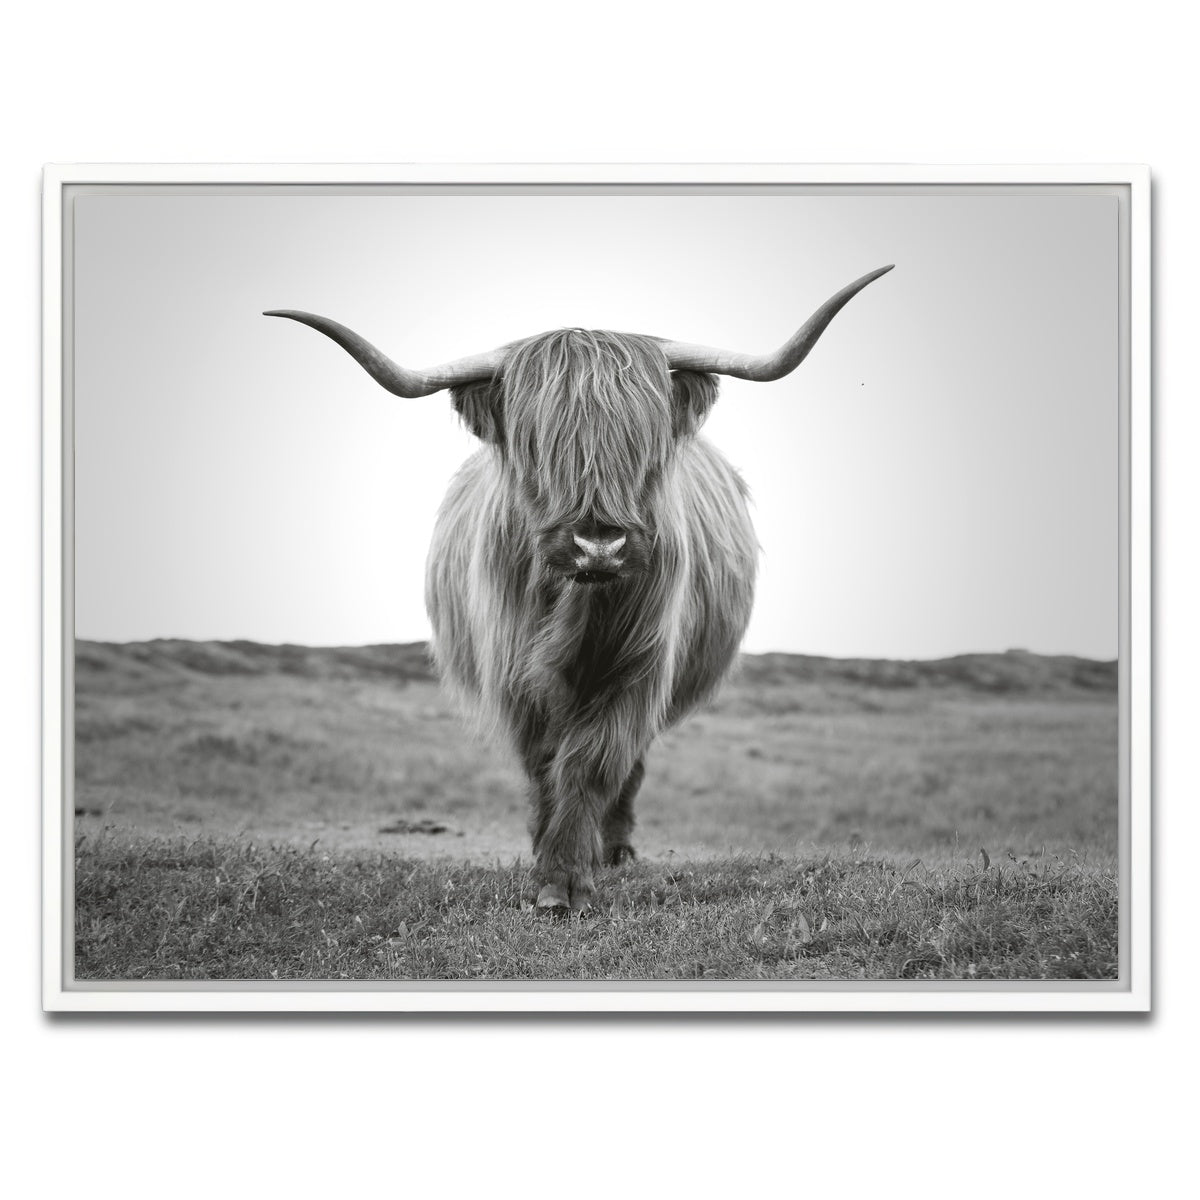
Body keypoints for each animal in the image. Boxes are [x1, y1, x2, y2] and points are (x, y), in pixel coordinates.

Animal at [265, 264, 892, 910]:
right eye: (537, 445)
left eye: (643, 442)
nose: (598, 546)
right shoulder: (515, 675)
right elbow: (545, 763)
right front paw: (548, 866)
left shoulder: (637, 668)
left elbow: (593, 761)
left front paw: (568, 876)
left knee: (629, 768)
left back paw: (614, 850)